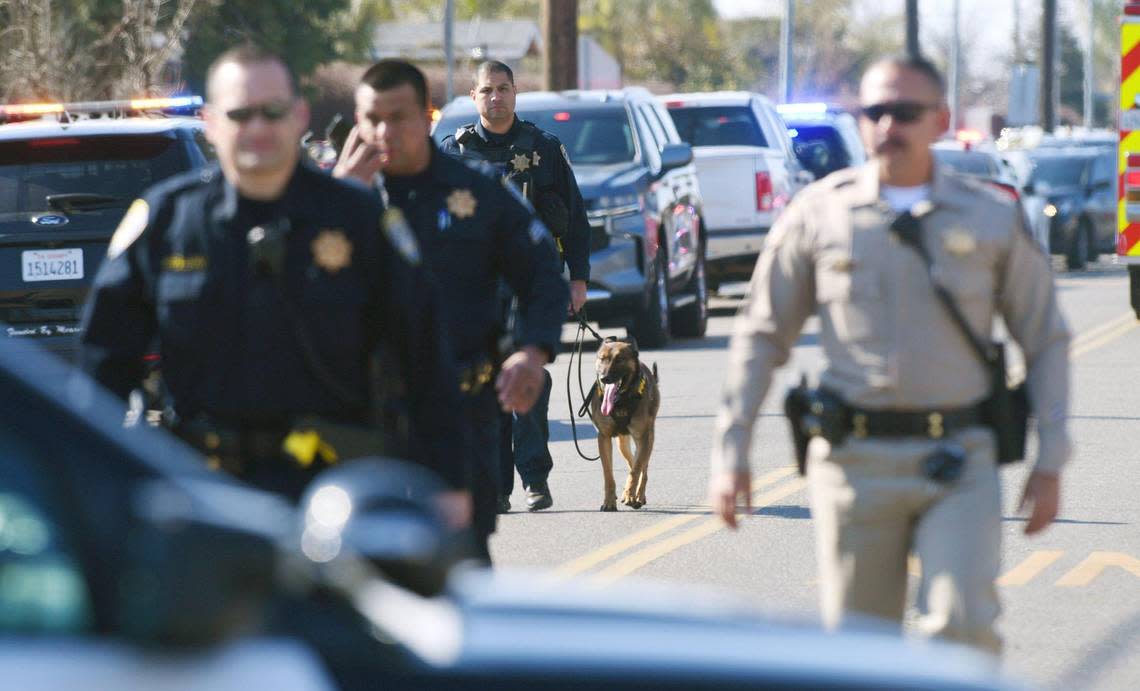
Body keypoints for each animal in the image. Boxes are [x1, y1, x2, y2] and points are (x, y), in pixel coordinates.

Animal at [588, 337, 661, 510]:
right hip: (622, 443)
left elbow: (636, 470)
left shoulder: (643, 437)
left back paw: (638, 496)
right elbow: (608, 474)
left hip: (648, 439)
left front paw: (630, 495)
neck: (620, 401)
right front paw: (609, 501)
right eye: (602, 359)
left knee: (642, 467)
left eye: (620, 359)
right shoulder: (604, 437)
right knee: (631, 460)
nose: (604, 378)